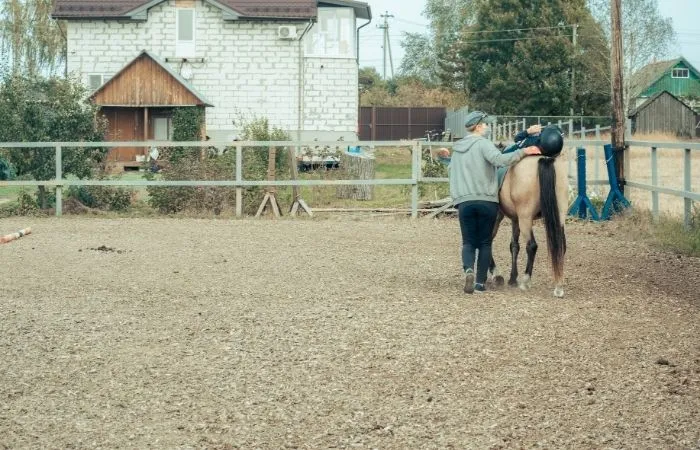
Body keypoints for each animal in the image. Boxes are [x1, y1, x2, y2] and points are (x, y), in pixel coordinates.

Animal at [486, 128, 568, 298]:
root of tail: (544, 159)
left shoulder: (499, 216)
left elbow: (489, 239)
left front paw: (497, 274)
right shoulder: (515, 219)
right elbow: (514, 245)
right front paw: (512, 278)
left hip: (526, 218)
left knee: (532, 246)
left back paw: (526, 280)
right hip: (559, 217)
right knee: (561, 246)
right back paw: (558, 286)